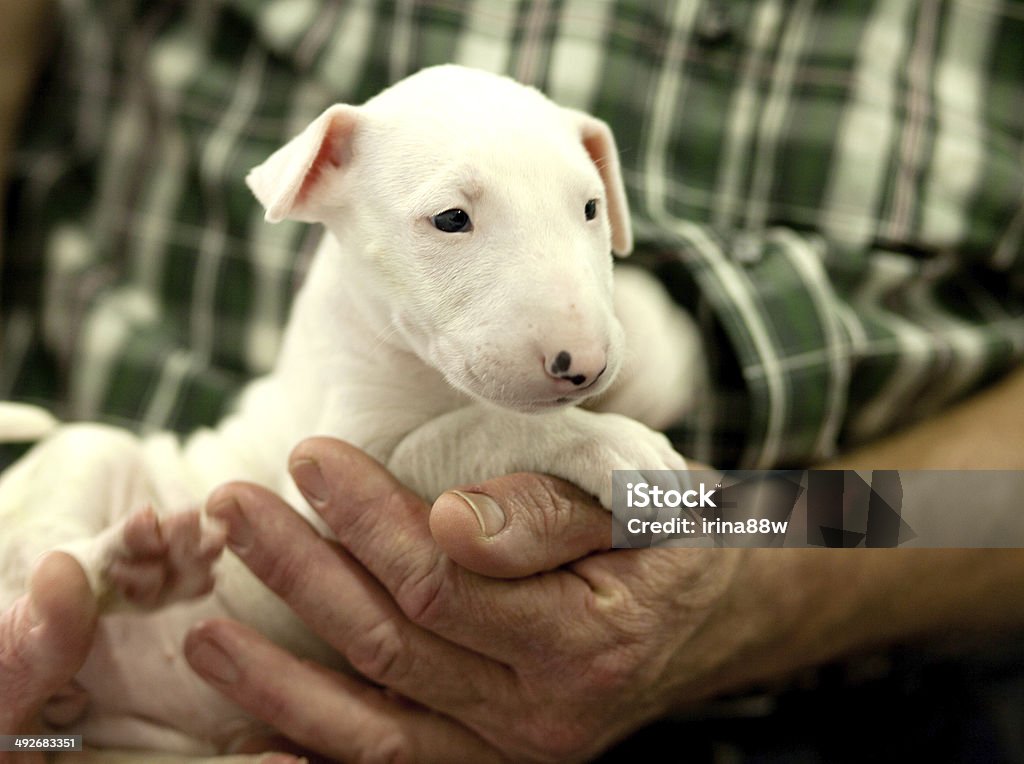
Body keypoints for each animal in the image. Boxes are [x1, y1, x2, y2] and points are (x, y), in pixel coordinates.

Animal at [0, 64, 700, 749]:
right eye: (452, 219)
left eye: (591, 208)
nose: (582, 363)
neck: (426, 371)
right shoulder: (330, 478)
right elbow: (469, 429)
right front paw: (616, 448)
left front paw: (661, 342)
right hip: (85, 461)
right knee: (39, 575)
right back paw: (140, 568)